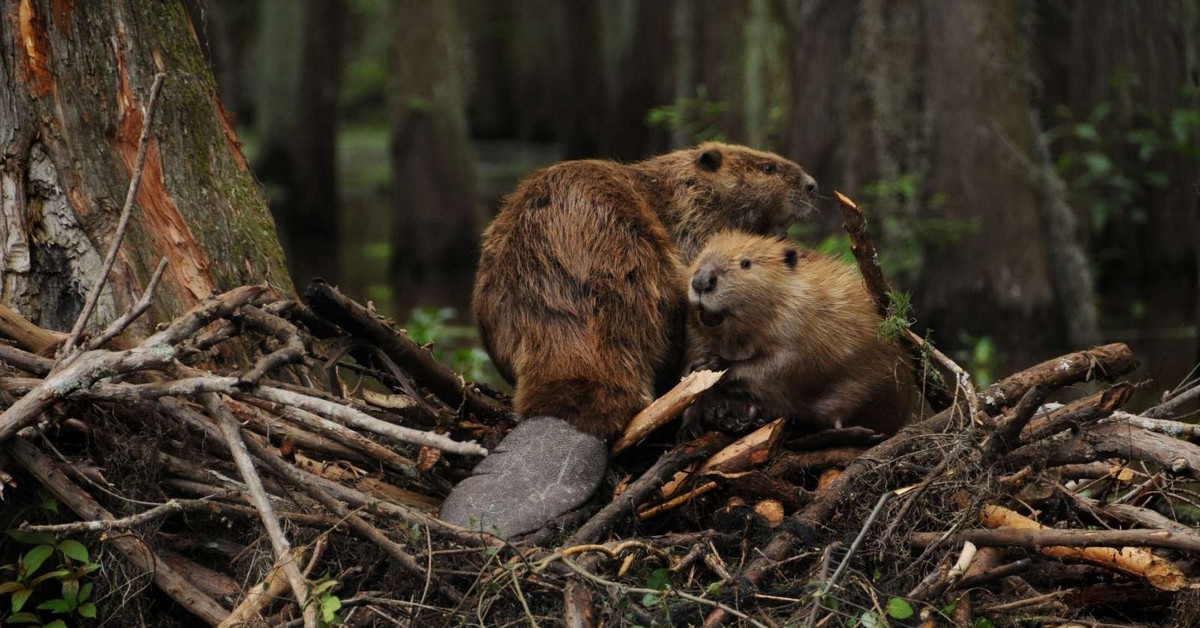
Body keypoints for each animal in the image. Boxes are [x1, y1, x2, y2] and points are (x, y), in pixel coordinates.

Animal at [691, 230, 912, 437]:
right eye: (700, 256)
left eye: (746, 263)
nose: (702, 281)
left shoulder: (804, 324)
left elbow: (785, 363)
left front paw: (713, 365)